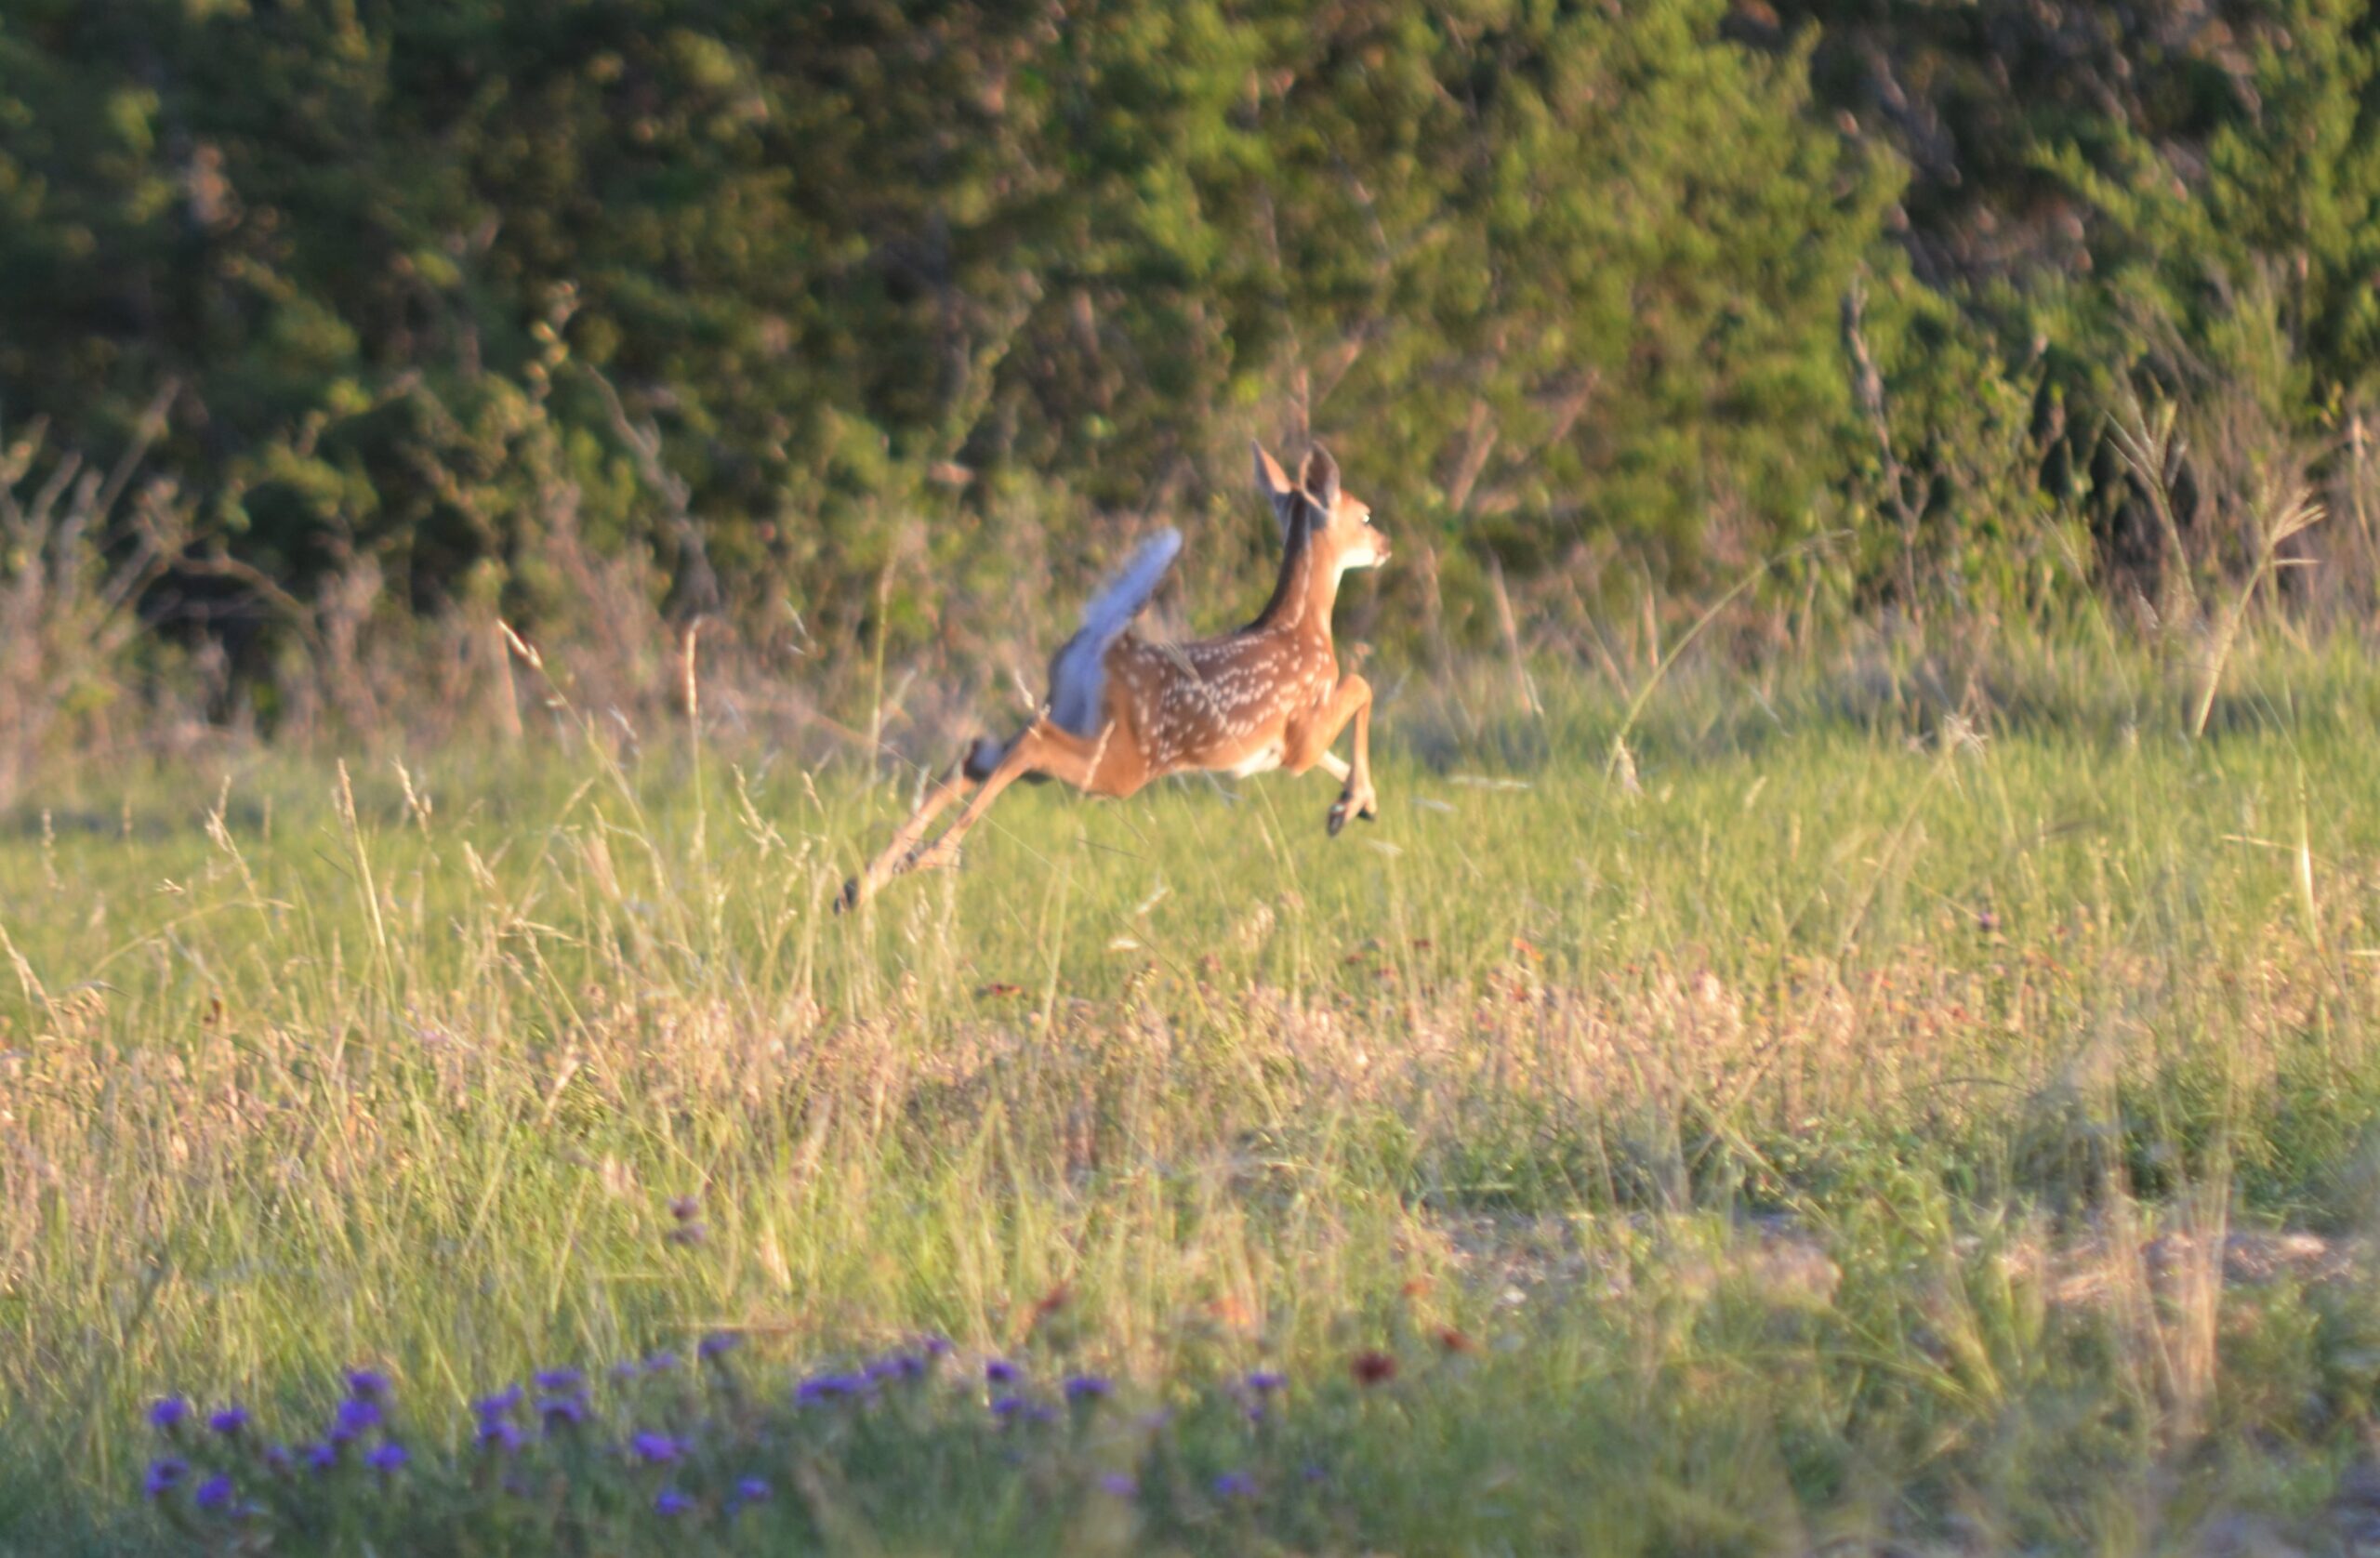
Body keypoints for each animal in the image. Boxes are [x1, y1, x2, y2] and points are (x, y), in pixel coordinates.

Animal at [838, 442, 1390, 911]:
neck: (1303, 626)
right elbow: (1361, 685)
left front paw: (1355, 803)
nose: (1386, 545)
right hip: (1126, 761)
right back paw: (928, 857)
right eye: (1364, 515)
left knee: (984, 751)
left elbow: (1338, 747)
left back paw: (861, 884)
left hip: (1073, 716)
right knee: (1029, 743)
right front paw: (1353, 802)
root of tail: (1098, 643)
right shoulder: (1300, 736)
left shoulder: (1284, 750)